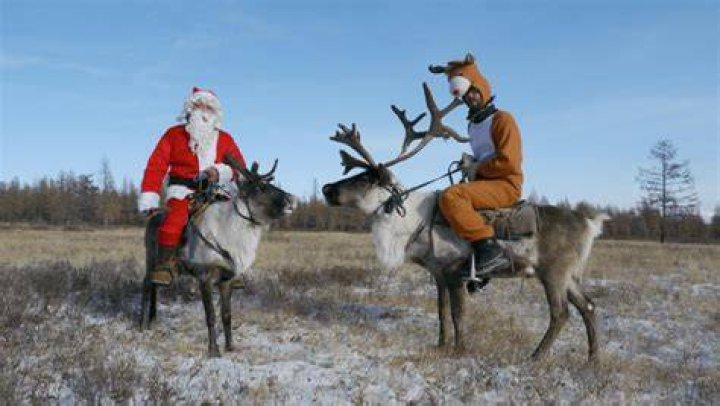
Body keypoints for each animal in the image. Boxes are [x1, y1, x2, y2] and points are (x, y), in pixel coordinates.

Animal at [141, 156, 297, 357]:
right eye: (259, 188)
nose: (292, 200)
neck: (229, 237)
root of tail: (153, 216)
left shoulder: (226, 279)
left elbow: (226, 315)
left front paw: (230, 346)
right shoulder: (205, 277)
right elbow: (211, 316)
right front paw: (213, 350)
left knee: (155, 285)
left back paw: (153, 319)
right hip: (150, 258)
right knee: (147, 284)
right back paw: (142, 324)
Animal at [322, 83, 608, 361]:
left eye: (364, 179)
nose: (326, 188)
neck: (413, 222)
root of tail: (589, 223)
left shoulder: (454, 270)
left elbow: (458, 314)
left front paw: (459, 350)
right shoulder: (438, 273)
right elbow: (441, 310)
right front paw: (440, 346)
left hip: (553, 272)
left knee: (561, 313)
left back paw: (536, 357)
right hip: (568, 274)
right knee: (588, 305)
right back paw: (593, 359)